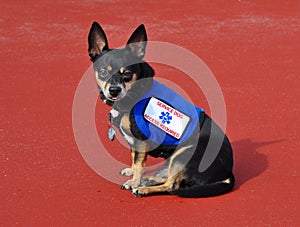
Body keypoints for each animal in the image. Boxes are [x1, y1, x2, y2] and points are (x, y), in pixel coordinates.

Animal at [88, 22, 236, 198]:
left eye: (127, 74)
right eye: (103, 72)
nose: (114, 90)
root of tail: (227, 172)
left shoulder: (141, 140)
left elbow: (140, 163)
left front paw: (134, 182)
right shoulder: (134, 141)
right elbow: (134, 158)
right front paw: (133, 173)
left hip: (183, 154)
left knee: (172, 186)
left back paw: (143, 188)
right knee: (167, 177)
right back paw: (148, 180)